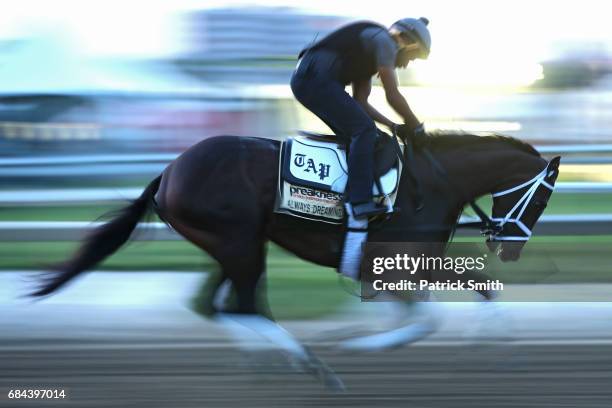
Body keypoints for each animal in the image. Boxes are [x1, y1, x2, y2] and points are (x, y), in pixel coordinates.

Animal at [31, 131, 560, 388]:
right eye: (541, 198)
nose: (510, 247)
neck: (430, 183)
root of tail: (169, 171)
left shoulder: (394, 267)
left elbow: (453, 298)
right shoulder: (399, 261)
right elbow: (447, 305)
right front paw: (360, 345)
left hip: (232, 244)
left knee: (215, 304)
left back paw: (268, 359)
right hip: (239, 242)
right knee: (244, 304)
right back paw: (311, 364)